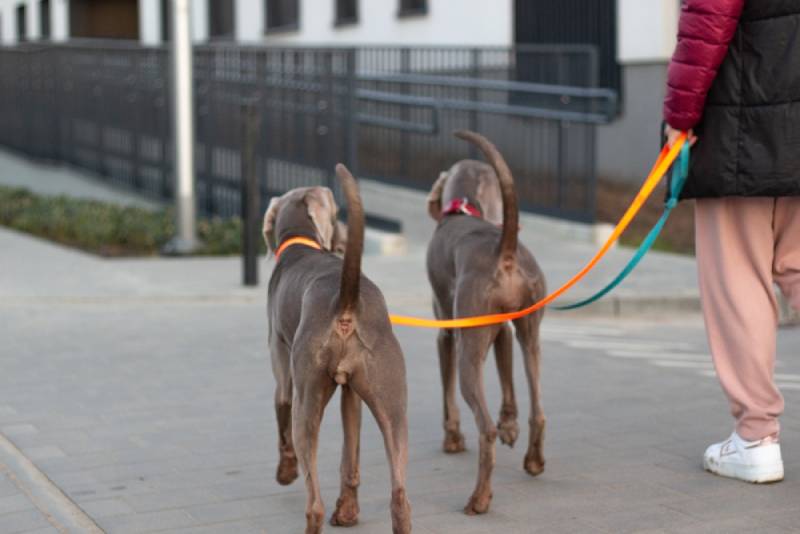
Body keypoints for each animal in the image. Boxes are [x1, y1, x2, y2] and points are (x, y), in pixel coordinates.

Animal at [428, 130, 548, 516]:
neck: (465, 208)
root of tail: (504, 251)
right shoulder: (503, 330)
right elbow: (508, 380)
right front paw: (510, 425)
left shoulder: (446, 331)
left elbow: (446, 391)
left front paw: (452, 438)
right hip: (530, 331)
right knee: (538, 408)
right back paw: (534, 461)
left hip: (469, 348)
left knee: (485, 429)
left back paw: (479, 499)